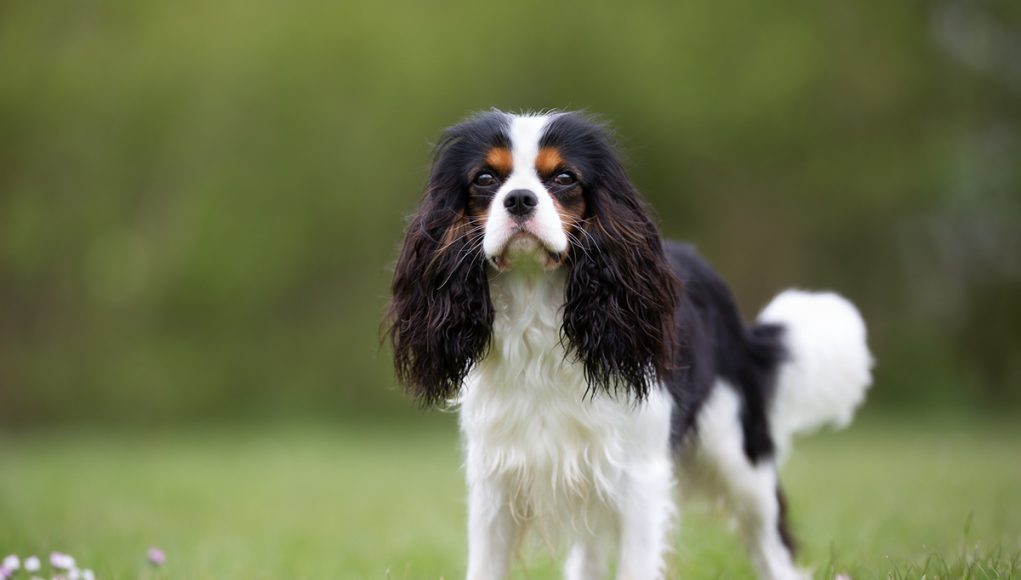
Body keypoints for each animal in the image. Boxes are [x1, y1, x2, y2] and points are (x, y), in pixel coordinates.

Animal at [383, 110, 869, 575]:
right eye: (485, 179)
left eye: (564, 178)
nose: (519, 198)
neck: (536, 304)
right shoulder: (496, 482)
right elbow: (487, 566)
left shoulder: (639, 478)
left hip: (738, 454)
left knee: (770, 540)